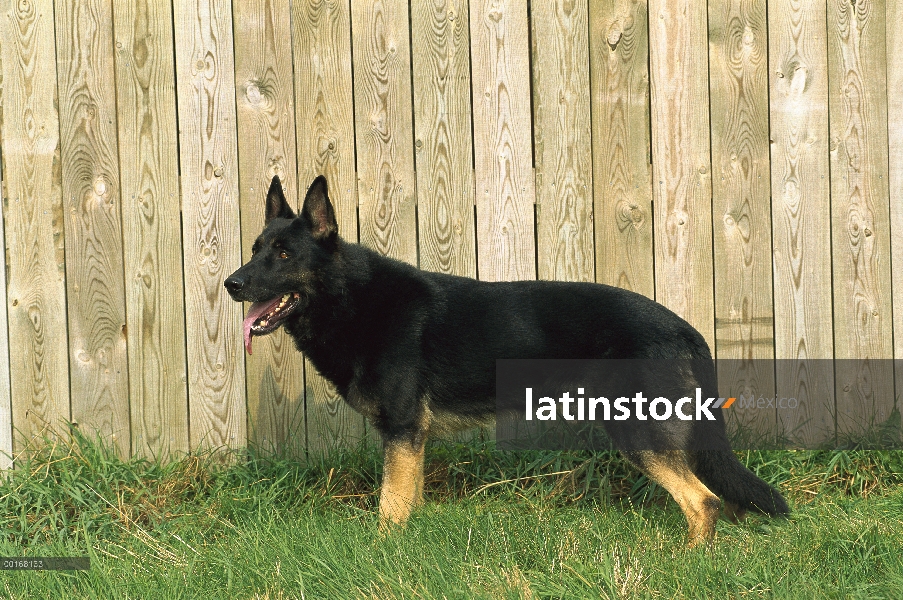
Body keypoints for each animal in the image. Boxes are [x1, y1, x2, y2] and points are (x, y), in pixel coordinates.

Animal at [222, 176, 788, 548]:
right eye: (255, 249)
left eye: (285, 255)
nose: (231, 284)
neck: (351, 298)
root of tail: (683, 326)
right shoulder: (412, 441)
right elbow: (408, 502)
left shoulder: (403, 432)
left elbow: (389, 509)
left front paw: (384, 554)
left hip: (638, 432)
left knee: (703, 500)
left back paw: (689, 559)